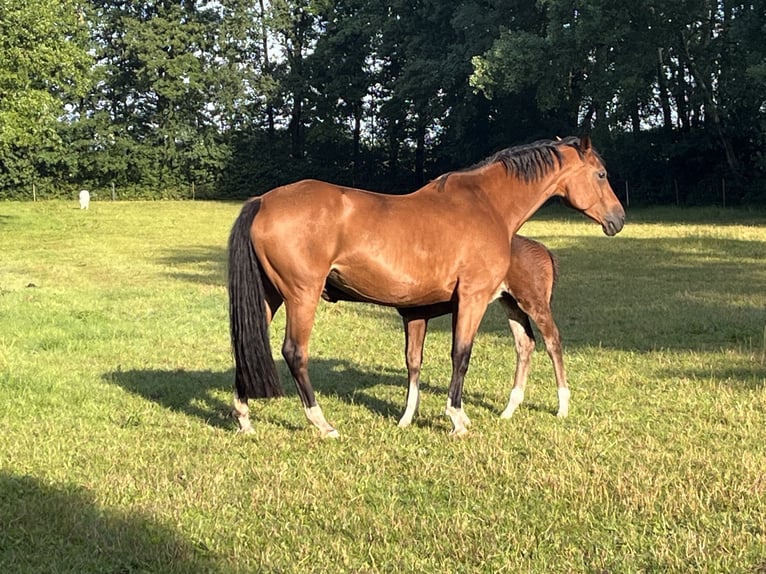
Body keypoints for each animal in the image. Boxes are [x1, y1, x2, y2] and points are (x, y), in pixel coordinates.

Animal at [396, 233, 568, 428]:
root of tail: (543, 250)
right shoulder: (413, 316)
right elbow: (413, 359)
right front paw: (407, 418)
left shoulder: (417, 314)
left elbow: (417, 359)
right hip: (510, 303)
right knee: (525, 343)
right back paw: (509, 410)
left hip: (533, 300)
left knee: (552, 341)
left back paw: (563, 408)